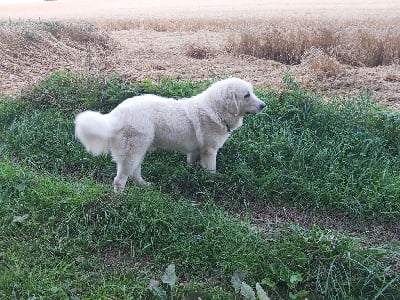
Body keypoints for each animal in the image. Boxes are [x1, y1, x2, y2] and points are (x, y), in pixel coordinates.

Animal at [76, 76, 268, 191]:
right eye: (246, 95)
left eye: (252, 92)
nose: (263, 105)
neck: (216, 110)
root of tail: (115, 115)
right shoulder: (209, 151)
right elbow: (211, 170)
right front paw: (212, 182)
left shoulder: (196, 151)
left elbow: (191, 163)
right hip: (132, 152)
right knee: (120, 179)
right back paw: (120, 199)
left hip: (138, 151)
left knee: (134, 173)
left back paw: (145, 186)